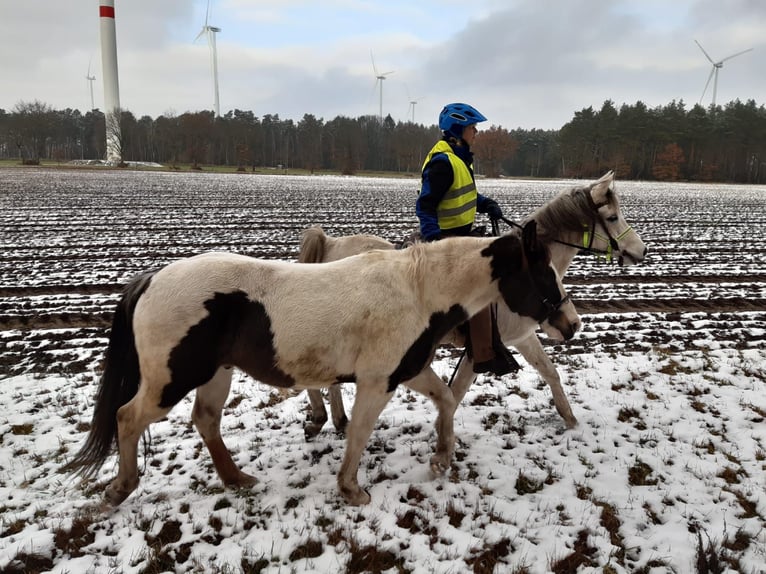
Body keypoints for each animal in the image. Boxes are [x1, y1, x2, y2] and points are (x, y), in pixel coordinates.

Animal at [63, 218, 580, 506]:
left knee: (206, 420)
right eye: (545, 275)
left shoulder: (409, 371)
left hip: (214, 376)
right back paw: (120, 488)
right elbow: (359, 432)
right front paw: (352, 490)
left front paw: (440, 458)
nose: (570, 324)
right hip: (169, 381)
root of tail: (150, 279)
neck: (417, 289)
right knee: (126, 417)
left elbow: (447, 401)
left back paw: (236, 479)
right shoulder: (377, 381)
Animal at [302, 169, 648, 438]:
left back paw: (336, 419)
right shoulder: (480, 349)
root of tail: (330, 244)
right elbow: (455, 393)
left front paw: (570, 419)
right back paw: (322, 417)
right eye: (612, 217)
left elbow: (550, 372)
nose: (641, 250)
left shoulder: (522, 337)